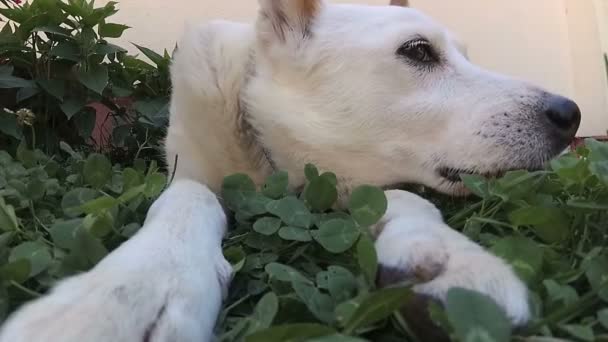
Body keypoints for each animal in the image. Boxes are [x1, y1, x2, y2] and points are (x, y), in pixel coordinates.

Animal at [0, 1, 580, 340]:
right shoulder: (190, 175)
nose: (569, 114)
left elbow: (411, 201)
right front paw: (128, 289)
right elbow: (187, 201)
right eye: (418, 51)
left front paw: (446, 256)